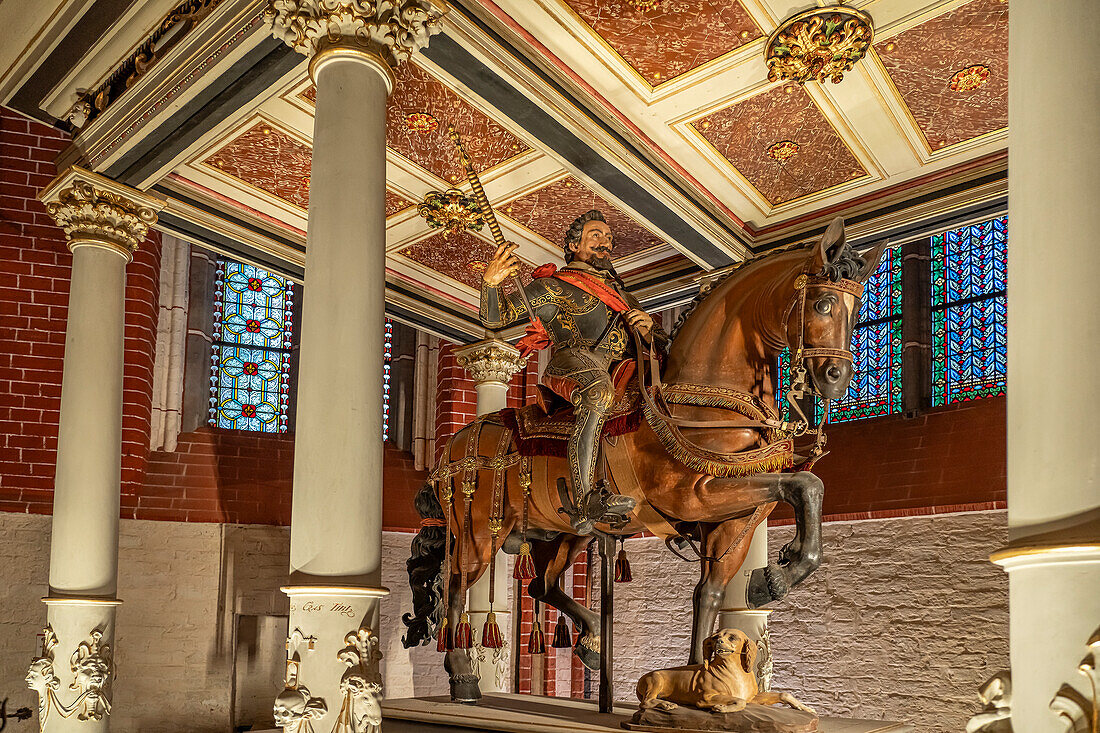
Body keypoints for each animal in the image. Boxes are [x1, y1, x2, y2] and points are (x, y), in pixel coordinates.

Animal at [402, 217, 884, 704]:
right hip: (478, 529)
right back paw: (464, 676)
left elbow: (710, 591)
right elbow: (804, 484)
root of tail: (452, 445)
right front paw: (775, 578)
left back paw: (594, 644)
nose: (837, 377)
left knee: (542, 584)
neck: (698, 398)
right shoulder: (692, 495)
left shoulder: (736, 516)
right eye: (823, 303)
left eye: (857, 309)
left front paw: (756, 601)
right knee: (456, 588)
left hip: (561, 534)